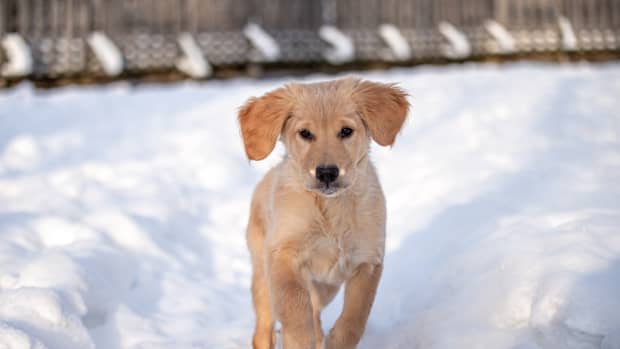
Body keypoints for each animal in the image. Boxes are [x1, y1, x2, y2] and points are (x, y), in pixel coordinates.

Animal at [240, 77, 410, 348]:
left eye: (346, 131)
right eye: (305, 134)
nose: (327, 173)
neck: (330, 209)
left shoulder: (367, 260)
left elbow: (355, 318)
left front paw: (335, 340)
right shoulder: (282, 256)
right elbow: (295, 309)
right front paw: (300, 339)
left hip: (326, 287)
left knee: (316, 310)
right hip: (263, 277)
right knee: (264, 329)